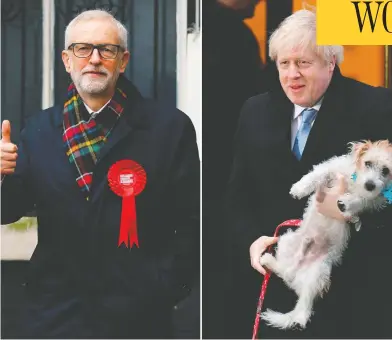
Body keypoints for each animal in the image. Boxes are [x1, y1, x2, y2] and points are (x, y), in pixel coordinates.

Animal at [258, 139, 390, 330]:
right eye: (368, 163)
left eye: (386, 170)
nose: (370, 185)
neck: (355, 182)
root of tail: (298, 278)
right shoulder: (333, 167)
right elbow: (317, 173)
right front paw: (299, 188)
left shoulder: (377, 200)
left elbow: (363, 200)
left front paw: (348, 202)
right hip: (287, 240)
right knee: (286, 271)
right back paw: (275, 258)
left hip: (319, 272)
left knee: (303, 306)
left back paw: (298, 318)